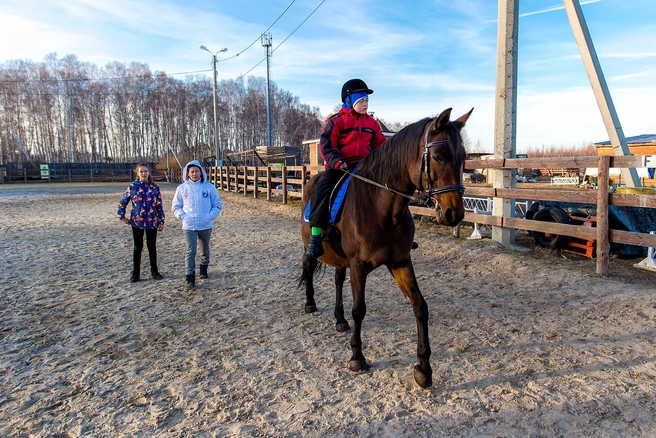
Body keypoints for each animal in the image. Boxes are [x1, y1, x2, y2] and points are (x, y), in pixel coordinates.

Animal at [298, 108, 472, 388]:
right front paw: (357, 357)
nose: (454, 214)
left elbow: (420, 306)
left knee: (337, 280)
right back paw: (310, 303)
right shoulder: (359, 265)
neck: (383, 207)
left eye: (464, 157)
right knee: (308, 264)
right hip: (313, 245)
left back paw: (339, 319)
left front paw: (423, 368)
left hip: (341, 257)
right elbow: (359, 309)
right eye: (438, 156)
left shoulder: (400, 262)